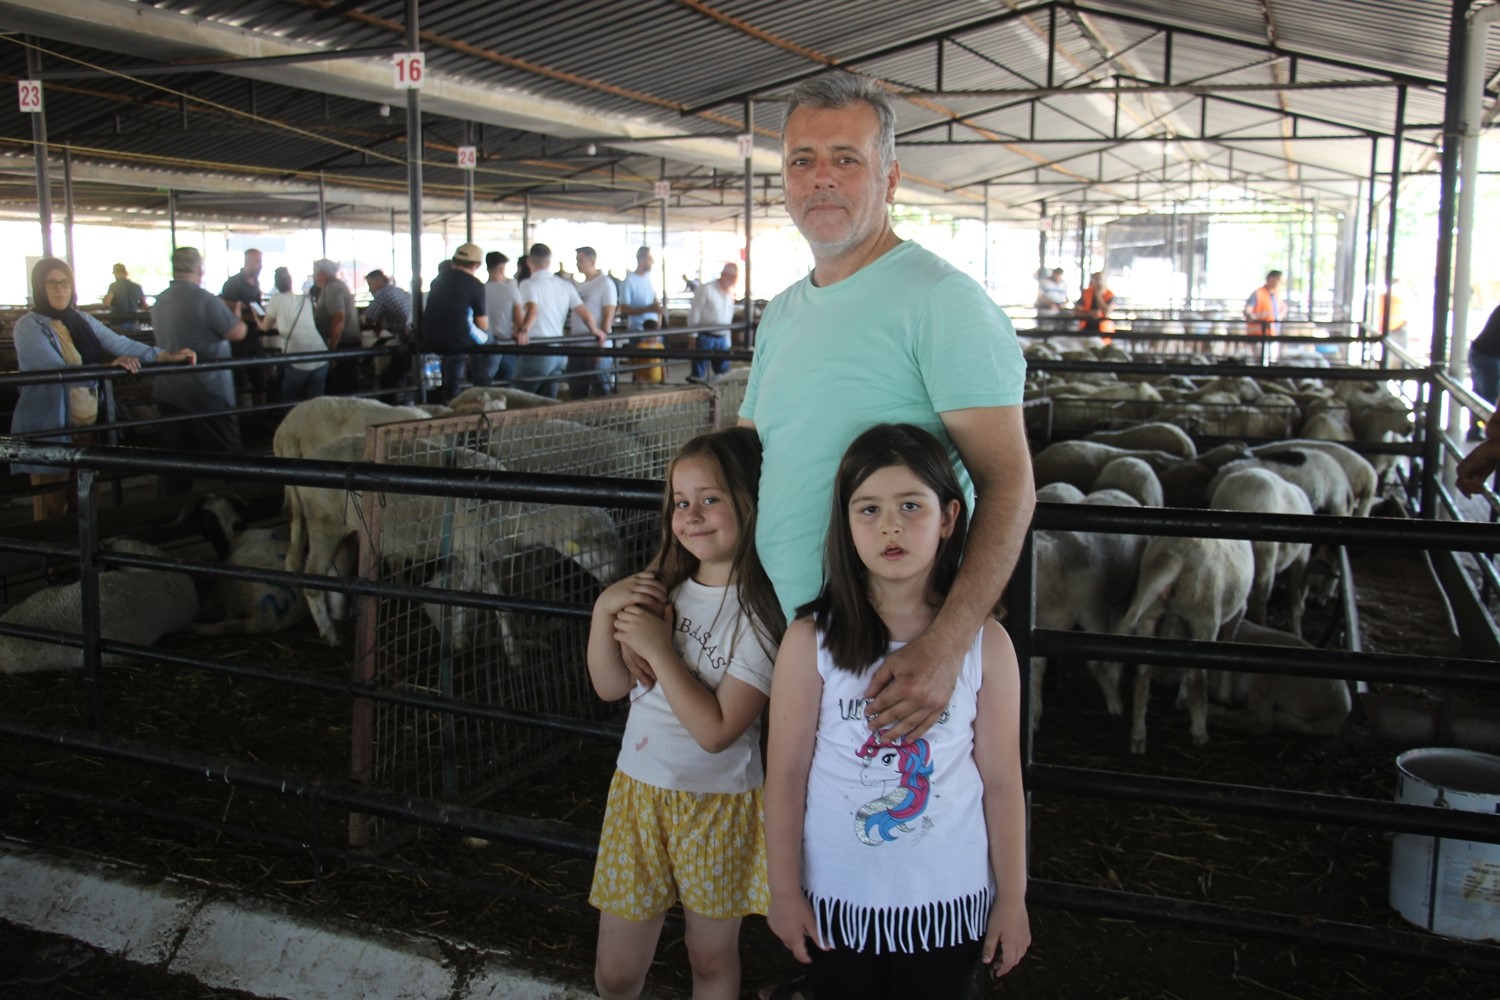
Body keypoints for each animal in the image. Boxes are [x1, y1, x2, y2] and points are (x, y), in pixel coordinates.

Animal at [1116, 536, 1254, 755]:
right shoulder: (1240, 608)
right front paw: (1225, 694)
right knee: (1196, 678)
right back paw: (1200, 733)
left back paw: (1138, 734)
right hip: (1205, 616)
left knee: (1142, 676)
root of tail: (1177, 556)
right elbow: (1230, 638)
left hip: (1151, 613)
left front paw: (1181, 698)